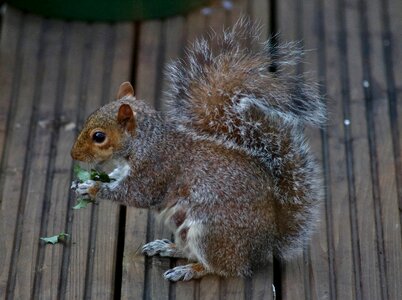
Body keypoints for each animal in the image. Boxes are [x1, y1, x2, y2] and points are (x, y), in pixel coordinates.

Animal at [70, 18, 326, 282]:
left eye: (99, 136)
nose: (73, 155)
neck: (145, 140)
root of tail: (265, 244)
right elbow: (115, 176)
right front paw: (83, 183)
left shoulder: (155, 169)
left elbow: (135, 193)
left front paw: (93, 188)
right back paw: (168, 247)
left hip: (209, 232)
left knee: (225, 268)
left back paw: (190, 270)